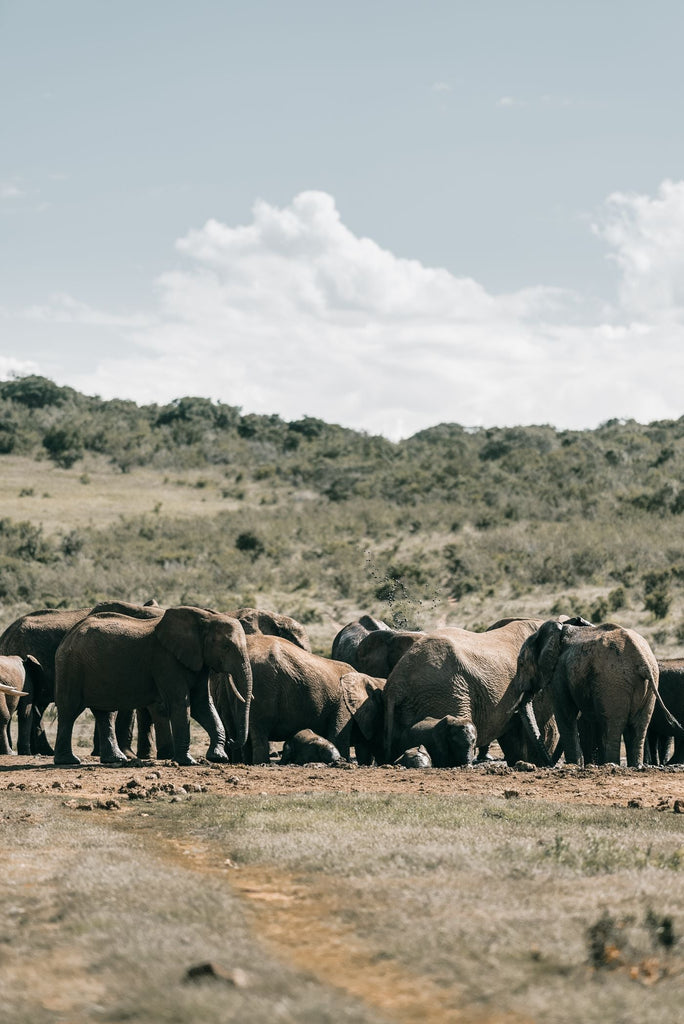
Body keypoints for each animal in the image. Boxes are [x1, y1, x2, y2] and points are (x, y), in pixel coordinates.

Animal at [53, 606, 252, 766]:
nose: (233, 740)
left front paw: (218, 758)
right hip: (71, 667)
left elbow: (201, 704)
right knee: (69, 710)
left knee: (105, 713)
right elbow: (181, 703)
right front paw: (187, 762)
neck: (205, 618)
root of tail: (68, 635)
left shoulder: (198, 662)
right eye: (226, 647)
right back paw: (68, 761)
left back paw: (115, 759)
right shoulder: (165, 660)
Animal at [211, 636, 385, 765]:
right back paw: (261, 763)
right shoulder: (343, 706)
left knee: (237, 727)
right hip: (263, 685)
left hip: (226, 687)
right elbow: (339, 736)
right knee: (259, 728)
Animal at [510, 620, 684, 767]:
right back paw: (635, 766)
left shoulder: (559, 671)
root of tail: (642, 660)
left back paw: (611, 764)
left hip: (613, 680)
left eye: (521, 663)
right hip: (647, 681)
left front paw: (574, 765)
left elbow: (566, 713)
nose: (549, 764)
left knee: (614, 725)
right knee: (638, 726)